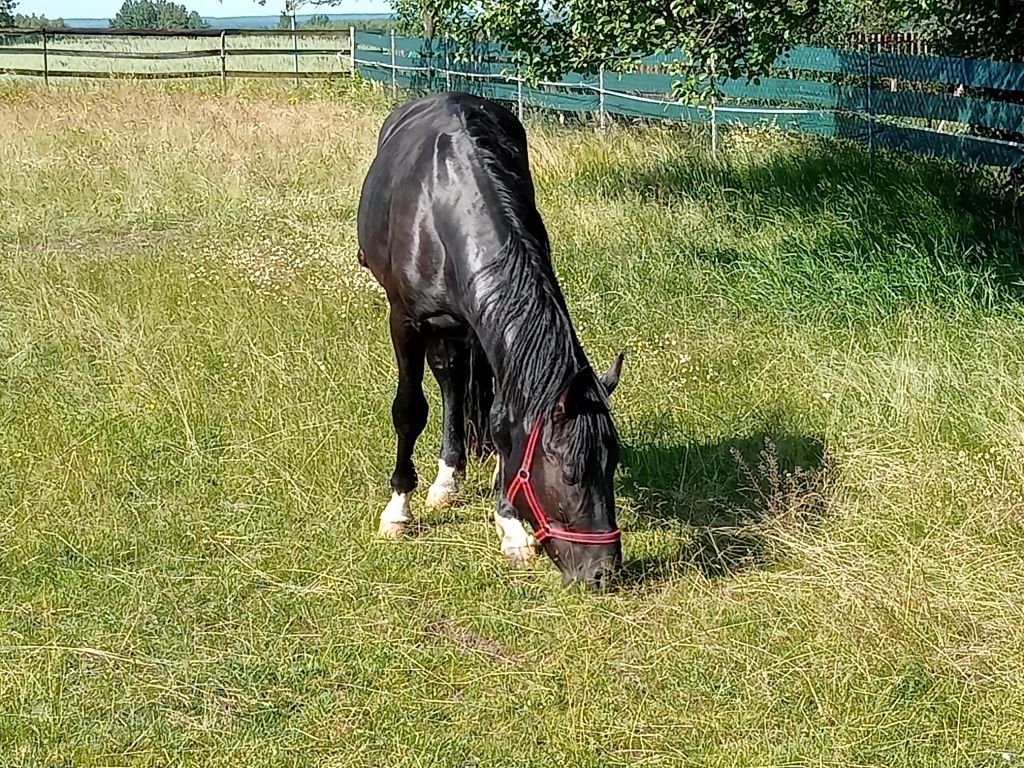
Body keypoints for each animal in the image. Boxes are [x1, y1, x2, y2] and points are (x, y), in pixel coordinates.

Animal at [352, 93, 622, 593]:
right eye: (571, 474)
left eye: (612, 463)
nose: (602, 573)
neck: (443, 201)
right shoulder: (405, 322)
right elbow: (409, 411)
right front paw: (398, 509)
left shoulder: (487, 323)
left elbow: (500, 419)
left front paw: (509, 523)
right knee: (448, 381)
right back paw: (443, 481)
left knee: (457, 381)